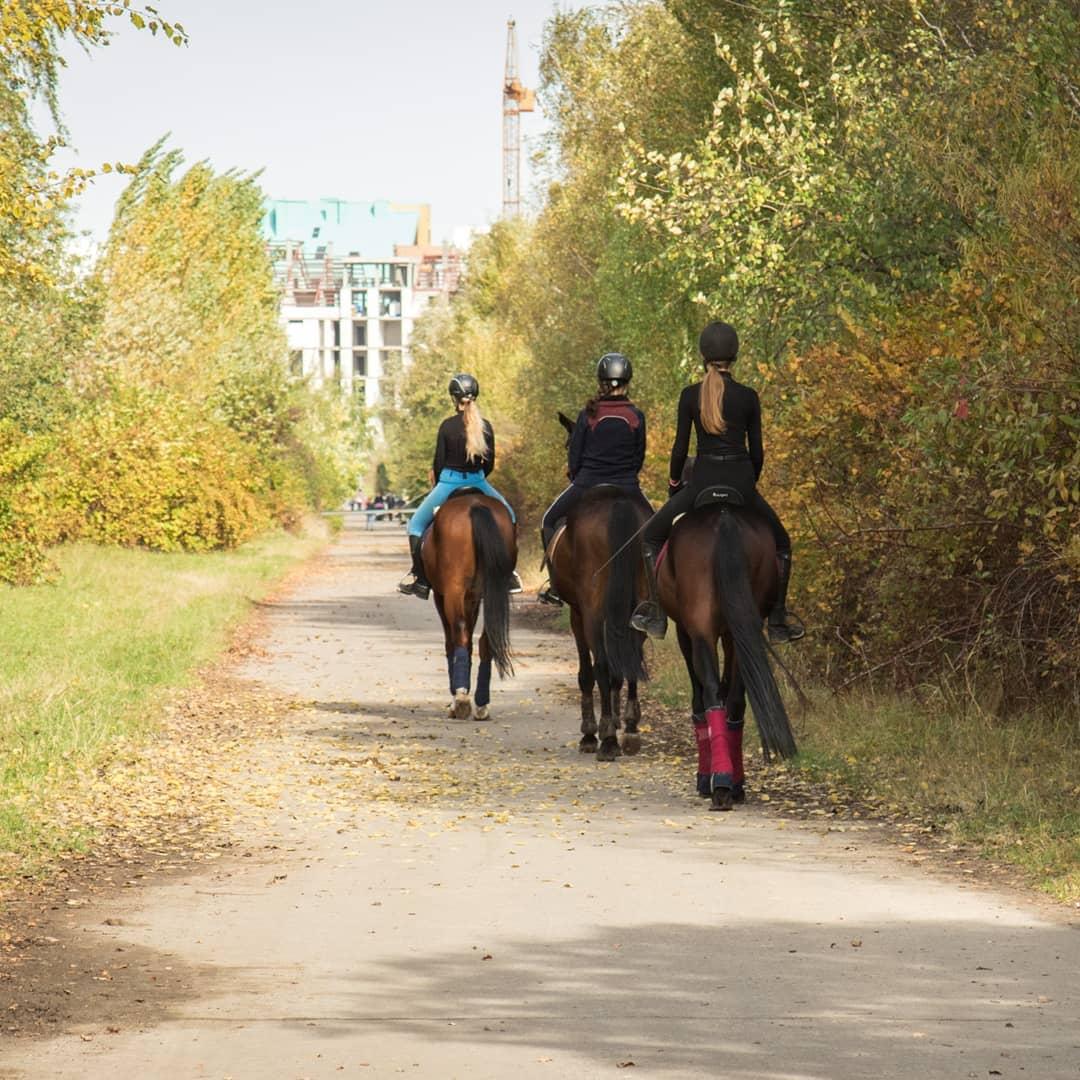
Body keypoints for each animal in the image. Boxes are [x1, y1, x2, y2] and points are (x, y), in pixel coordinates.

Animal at [419, 494, 516, 721]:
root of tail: (476, 505)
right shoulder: (473, 597)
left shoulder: (441, 596)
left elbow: (451, 643)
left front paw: (455, 697)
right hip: (491, 590)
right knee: (486, 640)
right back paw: (481, 704)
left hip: (453, 591)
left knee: (459, 634)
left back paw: (461, 700)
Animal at [548, 414, 648, 760]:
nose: (569, 471)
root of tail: (617, 504)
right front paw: (620, 722)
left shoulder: (577, 613)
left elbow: (587, 672)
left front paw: (591, 731)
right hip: (639, 605)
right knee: (629, 659)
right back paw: (629, 732)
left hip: (592, 612)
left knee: (602, 666)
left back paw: (603, 738)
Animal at [652, 483, 799, 812]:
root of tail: (723, 518)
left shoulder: (686, 632)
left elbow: (700, 697)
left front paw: (704, 779)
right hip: (742, 628)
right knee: (734, 699)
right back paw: (732, 782)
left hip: (701, 629)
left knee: (709, 694)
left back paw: (718, 782)